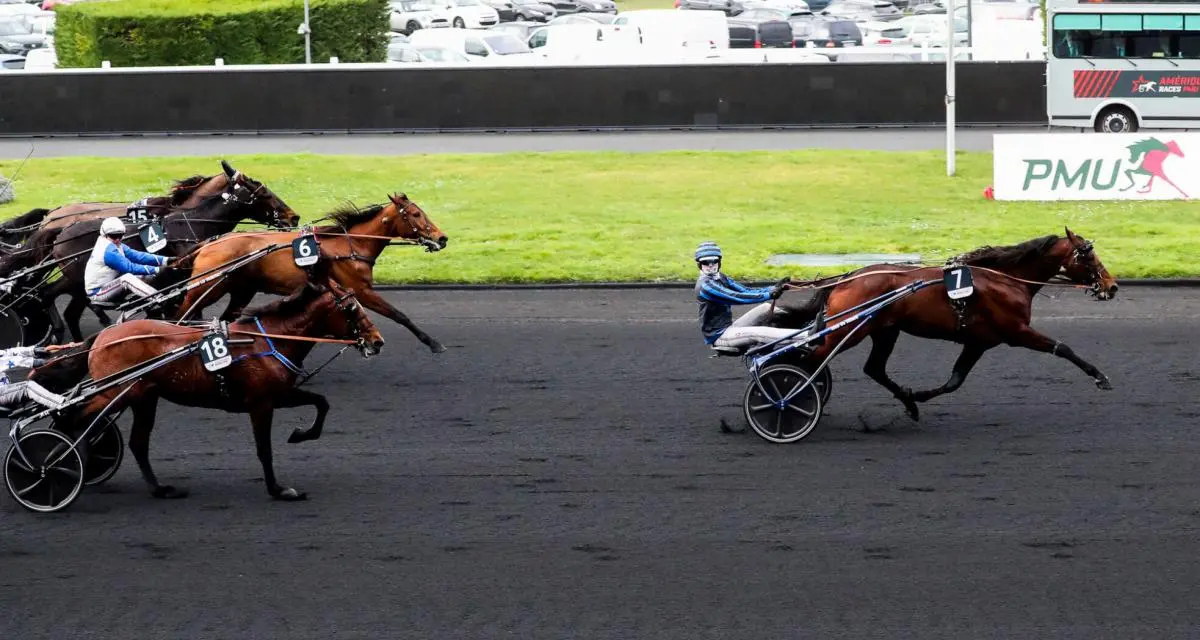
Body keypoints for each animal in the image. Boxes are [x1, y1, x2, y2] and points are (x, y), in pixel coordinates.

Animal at [35, 274, 384, 499]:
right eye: (352, 308)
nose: (377, 341)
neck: (268, 340)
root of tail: (103, 337)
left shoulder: (280, 395)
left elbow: (321, 402)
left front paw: (300, 434)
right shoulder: (261, 403)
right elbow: (264, 448)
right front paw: (278, 489)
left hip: (143, 397)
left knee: (135, 442)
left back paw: (159, 489)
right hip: (116, 392)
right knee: (76, 418)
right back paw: (55, 462)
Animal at [162, 193, 451, 355]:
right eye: (416, 214)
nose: (442, 238)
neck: (350, 245)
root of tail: (208, 244)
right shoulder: (362, 290)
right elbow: (399, 315)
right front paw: (434, 343)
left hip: (241, 290)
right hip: (207, 287)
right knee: (180, 315)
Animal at [772, 226, 1118, 422]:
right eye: (1088, 256)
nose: (1112, 285)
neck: (1005, 279)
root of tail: (847, 277)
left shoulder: (979, 342)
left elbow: (955, 380)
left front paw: (916, 397)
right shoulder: (1016, 332)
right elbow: (1063, 348)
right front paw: (1100, 377)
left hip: (884, 330)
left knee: (873, 368)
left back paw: (907, 405)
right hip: (848, 329)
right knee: (809, 359)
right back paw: (788, 398)